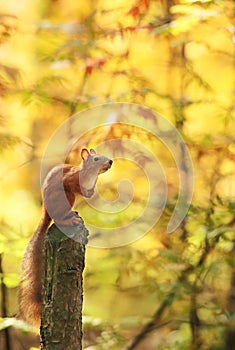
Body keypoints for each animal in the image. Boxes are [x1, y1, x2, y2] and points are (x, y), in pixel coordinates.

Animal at [18, 148, 112, 328]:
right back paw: (70, 219)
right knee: (59, 218)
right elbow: (72, 184)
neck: (89, 175)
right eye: (96, 159)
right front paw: (87, 192)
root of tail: (47, 212)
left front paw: (91, 192)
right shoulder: (70, 179)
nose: (110, 161)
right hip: (66, 197)